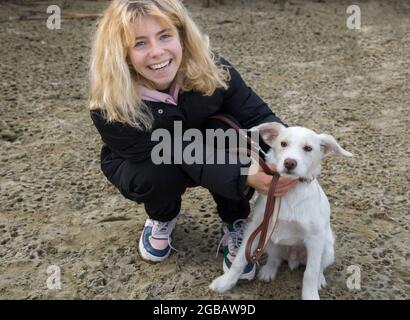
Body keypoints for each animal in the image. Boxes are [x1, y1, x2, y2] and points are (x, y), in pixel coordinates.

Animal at [210, 122, 350, 300]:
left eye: (308, 148)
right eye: (283, 144)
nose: (289, 163)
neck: (288, 194)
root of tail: (293, 257)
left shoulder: (315, 239)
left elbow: (310, 273)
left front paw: (310, 295)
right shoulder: (256, 228)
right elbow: (240, 260)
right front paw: (225, 283)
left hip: (327, 247)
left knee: (319, 267)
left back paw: (320, 279)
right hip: (269, 241)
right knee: (275, 259)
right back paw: (268, 271)